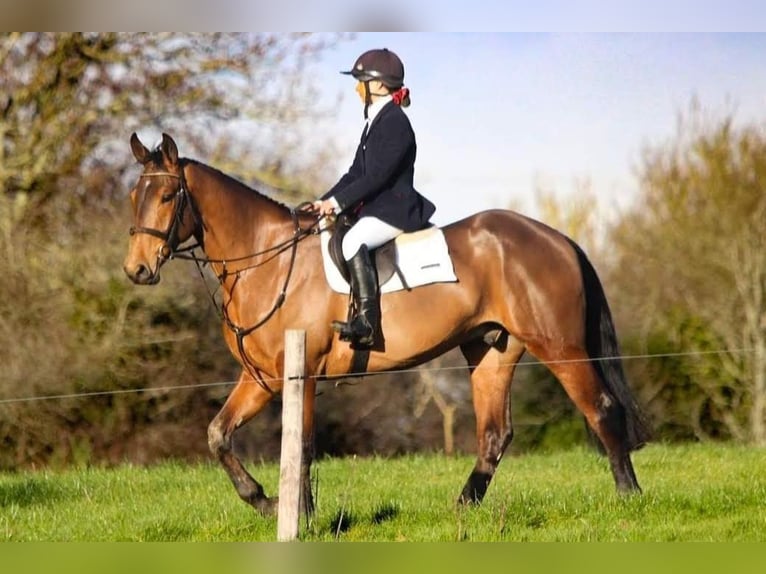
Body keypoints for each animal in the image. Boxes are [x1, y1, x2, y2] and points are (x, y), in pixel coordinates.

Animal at [123, 134, 652, 516]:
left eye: (167, 196)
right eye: (134, 196)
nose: (137, 271)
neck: (266, 261)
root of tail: (557, 238)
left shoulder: (303, 374)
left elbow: (303, 446)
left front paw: (303, 516)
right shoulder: (263, 378)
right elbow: (219, 434)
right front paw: (265, 502)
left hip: (559, 345)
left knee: (601, 408)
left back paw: (629, 496)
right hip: (492, 350)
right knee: (495, 434)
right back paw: (462, 507)